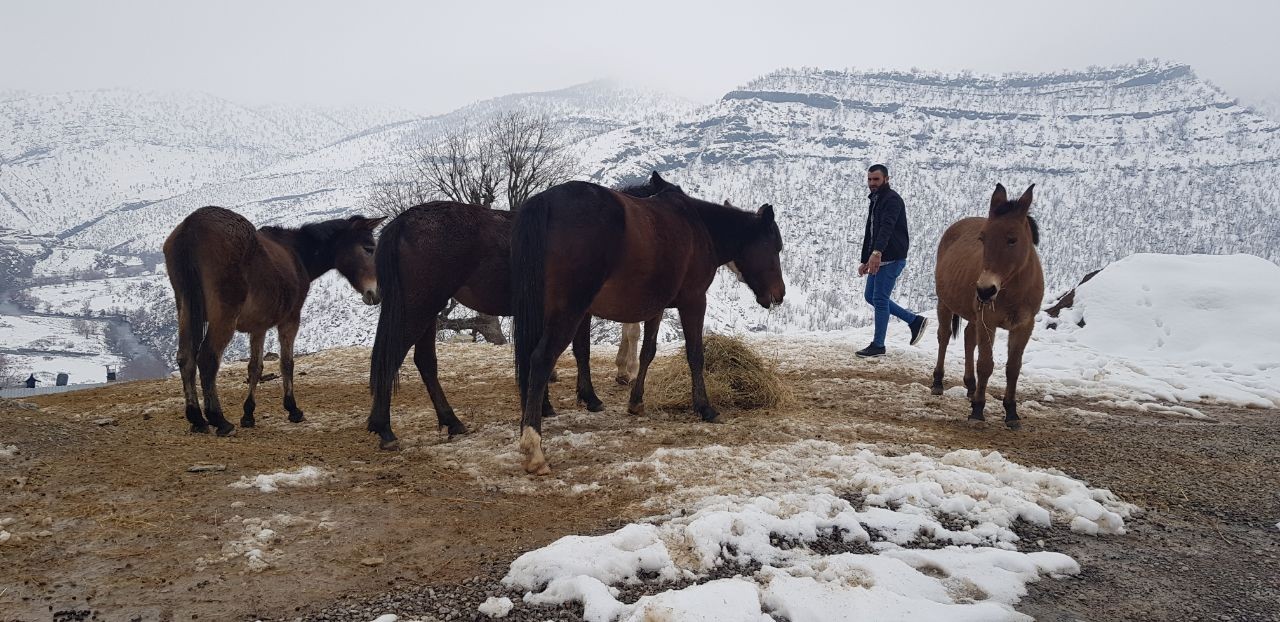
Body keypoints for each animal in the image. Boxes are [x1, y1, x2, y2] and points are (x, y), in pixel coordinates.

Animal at [162, 206, 378, 435]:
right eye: (369, 248)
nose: (375, 293)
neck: (296, 254)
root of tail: (191, 226)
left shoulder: (259, 327)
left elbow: (255, 367)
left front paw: (248, 414)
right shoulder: (290, 320)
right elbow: (287, 363)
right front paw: (293, 409)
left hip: (185, 310)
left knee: (186, 358)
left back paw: (197, 419)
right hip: (223, 317)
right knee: (207, 359)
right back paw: (219, 420)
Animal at [366, 202, 640, 450]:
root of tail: (403, 223)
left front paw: (544, 406)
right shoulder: (578, 311)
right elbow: (581, 352)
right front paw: (590, 398)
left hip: (428, 311)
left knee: (425, 362)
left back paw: (451, 421)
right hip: (419, 308)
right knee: (391, 357)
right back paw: (385, 429)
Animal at [506, 172, 778, 473]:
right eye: (776, 247)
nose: (779, 294)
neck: (699, 225)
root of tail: (546, 201)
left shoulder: (655, 308)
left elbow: (648, 351)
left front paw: (636, 401)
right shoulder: (694, 301)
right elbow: (695, 354)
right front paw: (704, 407)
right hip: (568, 313)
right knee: (541, 360)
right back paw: (534, 448)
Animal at [931, 181, 1039, 430]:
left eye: (1012, 239)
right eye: (983, 239)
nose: (984, 290)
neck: (1013, 289)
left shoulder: (1024, 325)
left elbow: (1013, 368)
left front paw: (1011, 412)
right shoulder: (987, 321)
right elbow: (986, 364)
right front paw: (978, 410)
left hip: (973, 315)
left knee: (969, 339)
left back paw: (971, 386)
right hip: (945, 304)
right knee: (944, 337)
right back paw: (939, 381)